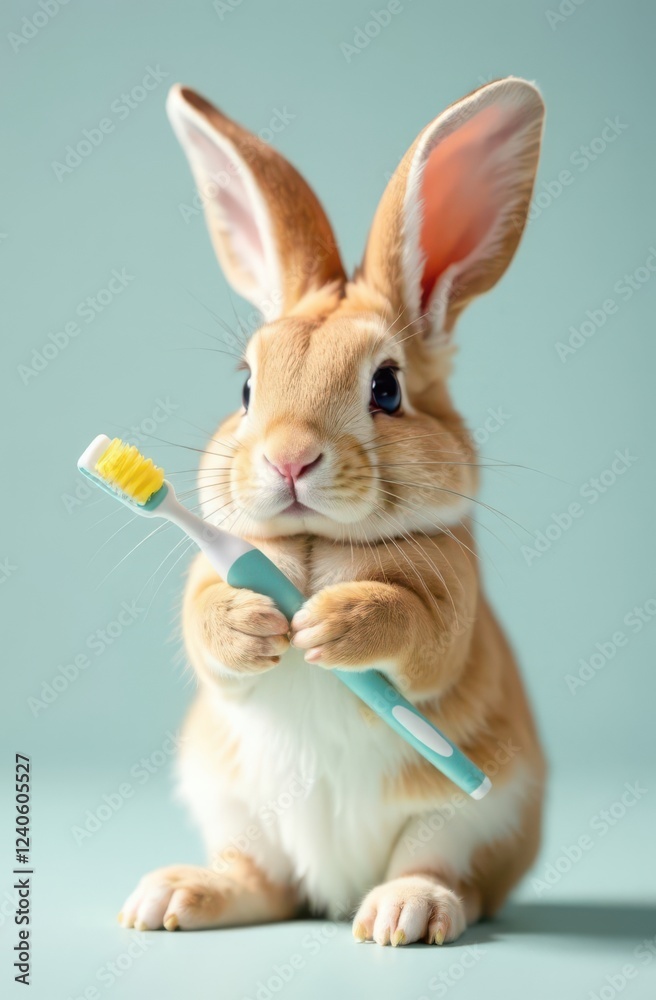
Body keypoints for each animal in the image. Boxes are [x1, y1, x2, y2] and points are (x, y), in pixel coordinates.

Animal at [119, 77, 546, 947]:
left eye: (387, 387)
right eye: (246, 387)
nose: (289, 458)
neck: (315, 544)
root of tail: (335, 888)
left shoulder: (450, 594)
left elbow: (420, 631)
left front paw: (332, 624)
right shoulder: (212, 574)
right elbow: (206, 625)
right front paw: (255, 623)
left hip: (468, 816)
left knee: (451, 874)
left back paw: (403, 914)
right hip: (236, 809)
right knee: (266, 886)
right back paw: (174, 897)